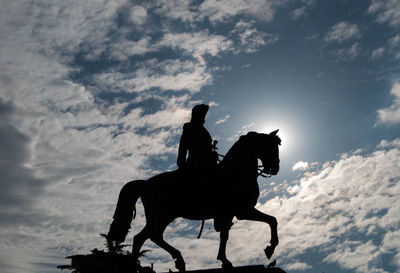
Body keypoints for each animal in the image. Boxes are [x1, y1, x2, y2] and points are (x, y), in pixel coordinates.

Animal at [107, 130, 282, 270]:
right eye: (271, 146)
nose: (275, 168)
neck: (236, 172)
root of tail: (146, 183)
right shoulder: (242, 211)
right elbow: (270, 221)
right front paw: (269, 248)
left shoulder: (233, 213)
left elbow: (267, 221)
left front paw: (226, 259)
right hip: (161, 216)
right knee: (149, 236)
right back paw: (174, 259)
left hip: (161, 217)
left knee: (145, 237)